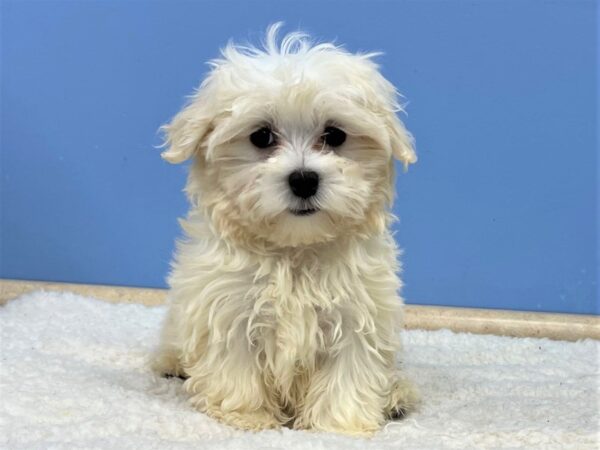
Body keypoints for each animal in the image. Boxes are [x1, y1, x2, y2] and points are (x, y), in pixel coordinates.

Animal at [152, 24, 420, 436]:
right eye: (261, 137)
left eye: (335, 135)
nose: (304, 179)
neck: (295, 249)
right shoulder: (228, 307)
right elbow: (236, 367)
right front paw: (246, 418)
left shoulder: (358, 311)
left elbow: (349, 371)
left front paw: (339, 426)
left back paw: (395, 397)